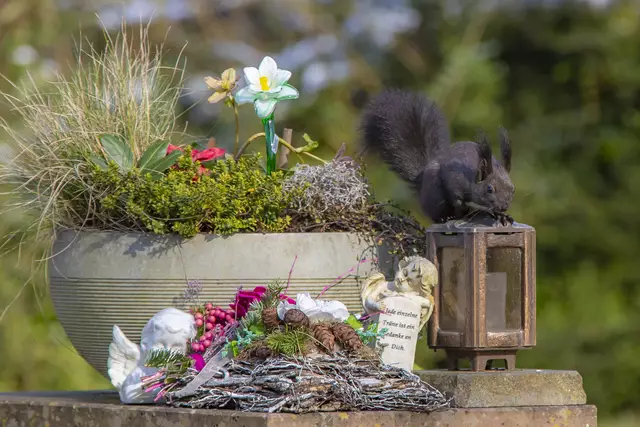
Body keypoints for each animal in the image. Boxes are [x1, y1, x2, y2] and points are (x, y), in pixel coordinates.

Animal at [360, 89, 515, 225]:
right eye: (489, 189)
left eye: (513, 190)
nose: (504, 207)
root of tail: (421, 181)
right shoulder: (455, 179)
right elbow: (456, 197)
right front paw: (463, 209)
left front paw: (502, 216)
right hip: (434, 194)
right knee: (435, 214)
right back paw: (446, 218)